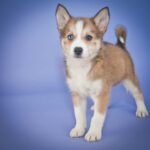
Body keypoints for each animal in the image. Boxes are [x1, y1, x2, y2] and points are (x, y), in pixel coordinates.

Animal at [55, 3, 149, 142]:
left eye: (89, 37)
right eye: (70, 36)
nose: (78, 50)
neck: (82, 67)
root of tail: (120, 46)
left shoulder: (102, 92)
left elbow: (97, 117)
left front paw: (93, 132)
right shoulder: (77, 94)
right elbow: (79, 115)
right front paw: (79, 129)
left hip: (130, 80)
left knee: (138, 94)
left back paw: (142, 110)